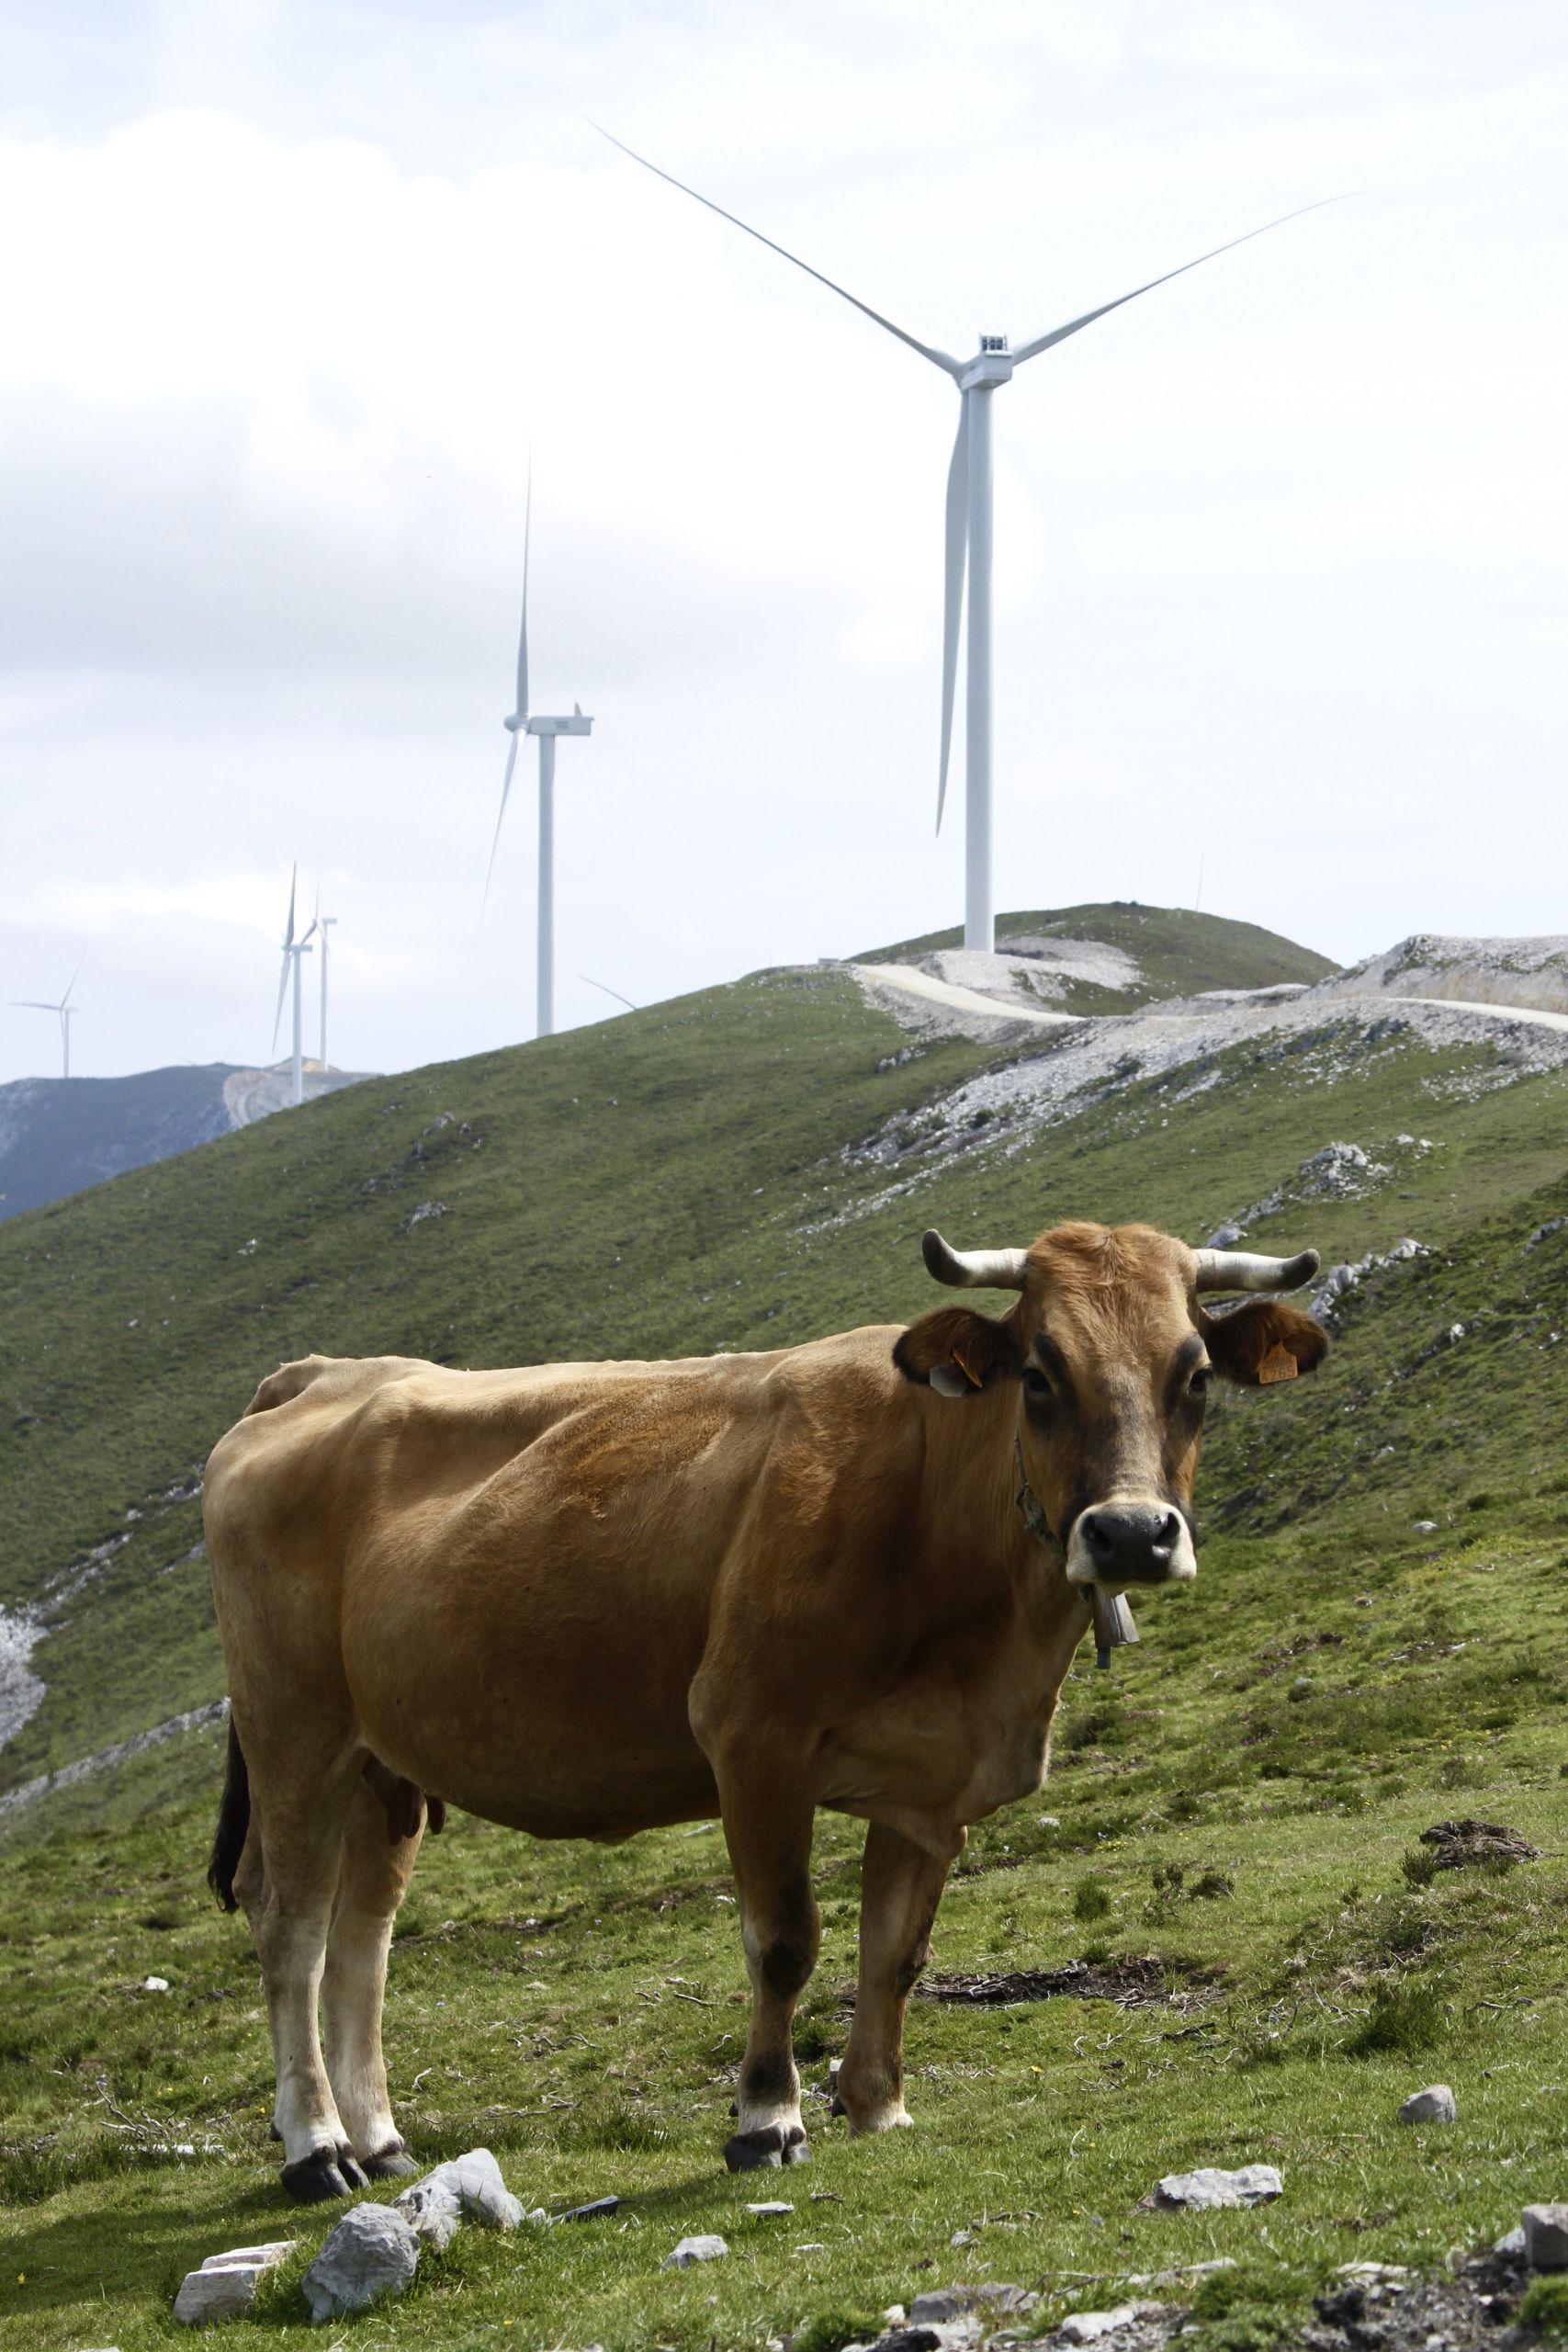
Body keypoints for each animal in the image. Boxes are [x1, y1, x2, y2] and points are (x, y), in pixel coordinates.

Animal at [202, 1223, 1335, 2191]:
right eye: (1041, 1375)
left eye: (1194, 1377)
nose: (1132, 1534)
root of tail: (321, 1374)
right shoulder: (752, 1737)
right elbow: (786, 1940)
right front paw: (767, 2119)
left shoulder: (932, 1779)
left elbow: (898, 1950)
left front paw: (877, 2103)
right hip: (292, 1728)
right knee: (291, 1925)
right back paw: (316, 2147)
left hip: (380, 1760)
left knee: (362, 1937)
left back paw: (380, 2137)